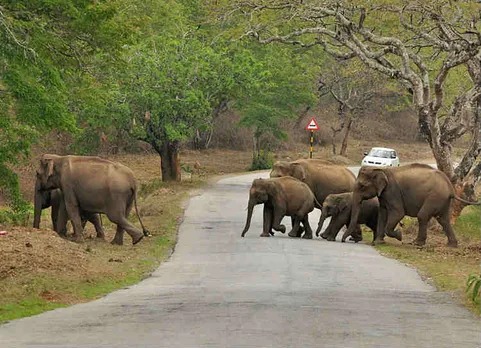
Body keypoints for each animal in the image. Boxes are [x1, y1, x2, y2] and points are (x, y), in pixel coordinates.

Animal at [344, 164, 480, 247]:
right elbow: (383, 213)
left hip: (435, 197)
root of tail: (451, 188)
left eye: (362, 186)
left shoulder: (392, 192)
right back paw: (451, 246)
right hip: (443, 201)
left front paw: (399, 235)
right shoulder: (383, 194)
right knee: (443, 219)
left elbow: (398, 213)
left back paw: (416, 243)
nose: (344, 240)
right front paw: (378, 242)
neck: (381, 169)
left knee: (423, 216)